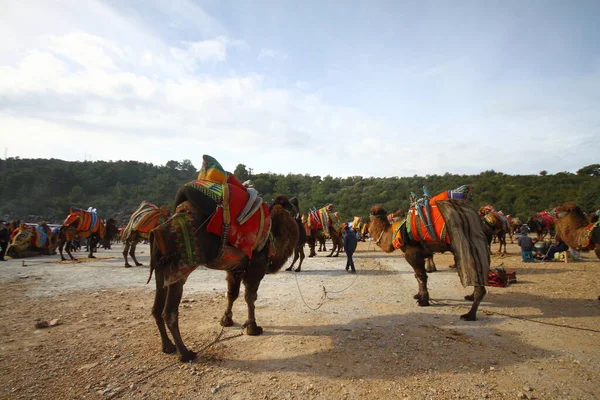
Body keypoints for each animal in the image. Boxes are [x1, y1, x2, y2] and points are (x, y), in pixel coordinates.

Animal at [150, 183, 300, 360]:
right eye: (290, 205)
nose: (295, 199)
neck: (273, 236)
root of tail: (159, 229)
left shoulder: (235, 268)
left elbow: (232, 295)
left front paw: (226, 321)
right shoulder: (257, 265)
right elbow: (250, 297)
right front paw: (253, 328)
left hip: (160, 270)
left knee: (156, 308)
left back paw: (167, 346)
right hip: (180, 268)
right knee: (169, 312)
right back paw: (185, 353)